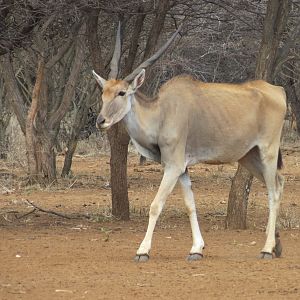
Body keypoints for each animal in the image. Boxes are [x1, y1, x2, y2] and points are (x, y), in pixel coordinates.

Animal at [92, 24, 288, 262]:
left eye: (121, 92)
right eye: (104, 92)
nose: (101, 121)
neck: (162, 113)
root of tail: (278, 91)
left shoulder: (174, 166)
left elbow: (156, 205)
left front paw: (142, 251)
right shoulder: (182, 168)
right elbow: (190, 205)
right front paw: (196, 249)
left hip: (268, 151)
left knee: (273, 191)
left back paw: (267, 249)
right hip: (248, 156)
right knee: (279, 182)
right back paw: (276, 244)